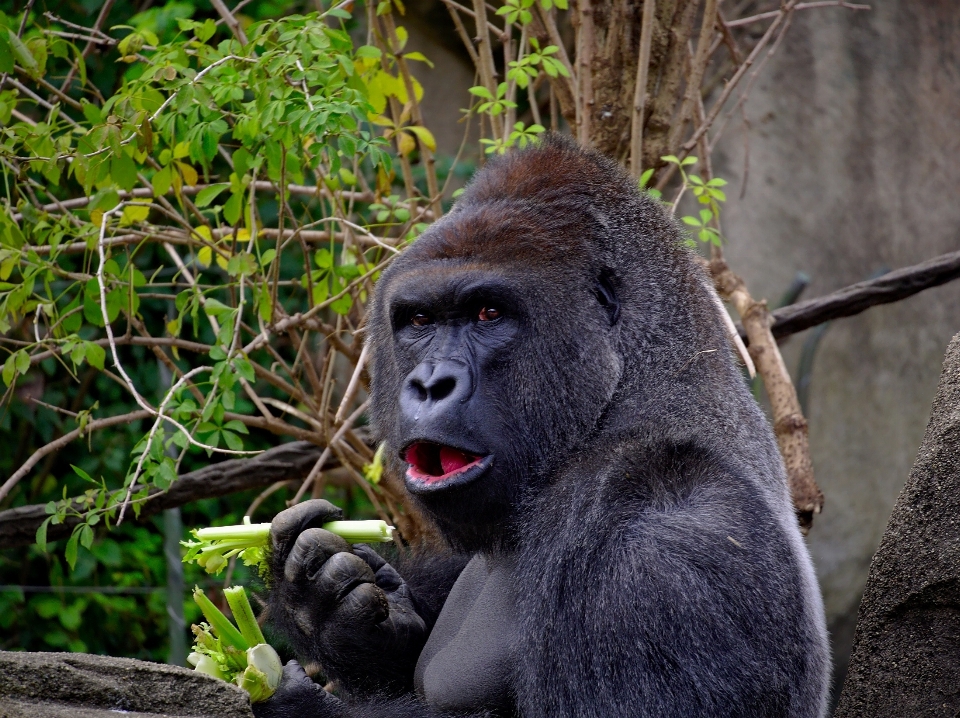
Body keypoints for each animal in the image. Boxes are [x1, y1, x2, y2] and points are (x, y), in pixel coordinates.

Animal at [255, 136, 832, 718]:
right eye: (419, 321)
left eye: (488, 313)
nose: (430, 384)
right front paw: (330, 614)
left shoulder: (662, 545)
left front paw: (295, 702)